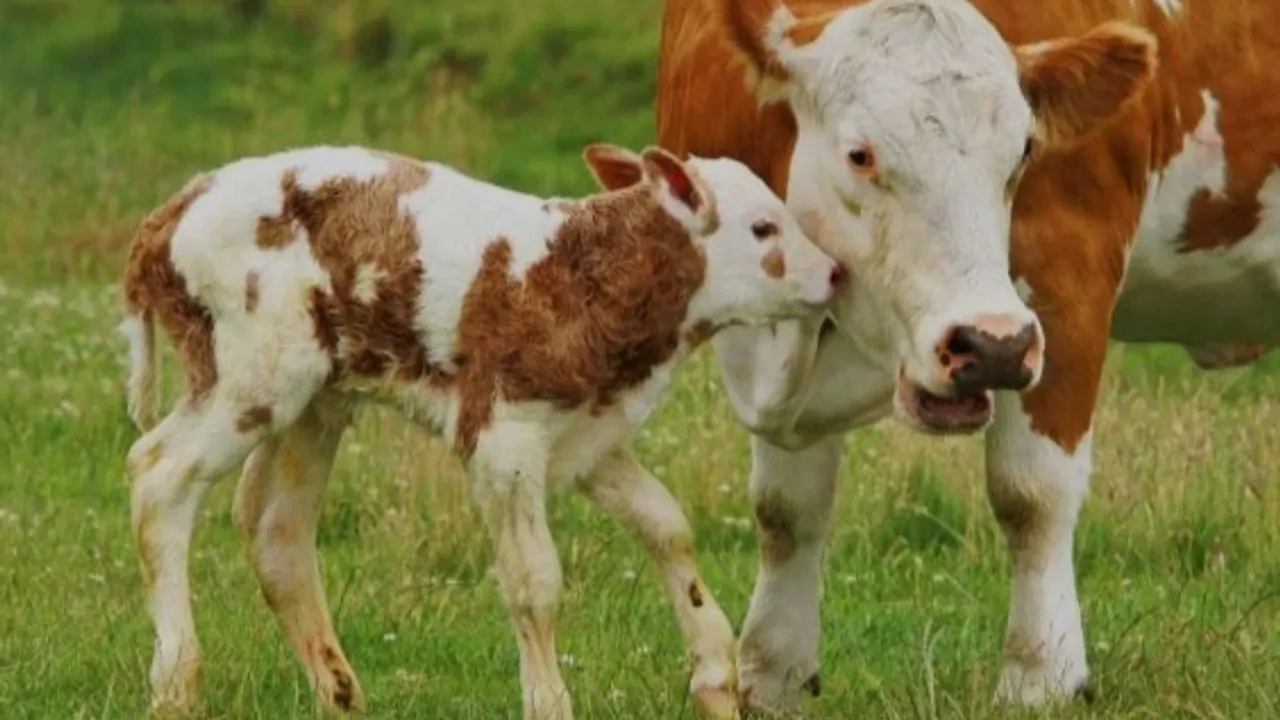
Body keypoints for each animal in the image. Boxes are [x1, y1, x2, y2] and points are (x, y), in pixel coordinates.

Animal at [117, 141, 839, 717]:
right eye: (763, 227)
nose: (834, 272)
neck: (579, 273)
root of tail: (170, 212)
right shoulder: (503, 437)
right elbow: (534, 582)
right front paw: (549, 704)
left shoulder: (588, 433)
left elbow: (667, 528)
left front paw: (716, 674)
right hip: (254, 374)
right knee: (159, 474)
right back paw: (176, 685)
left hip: (315, 398)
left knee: (275, 528)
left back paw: (339, 694)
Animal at [655, 0, 1274, 707]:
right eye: (860, 155)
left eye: (1024, 151)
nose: (991, 345)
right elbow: (786, 509)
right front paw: (773, 675)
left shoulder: (1066, 278)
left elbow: (1033, 493)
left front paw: (1041, 678)